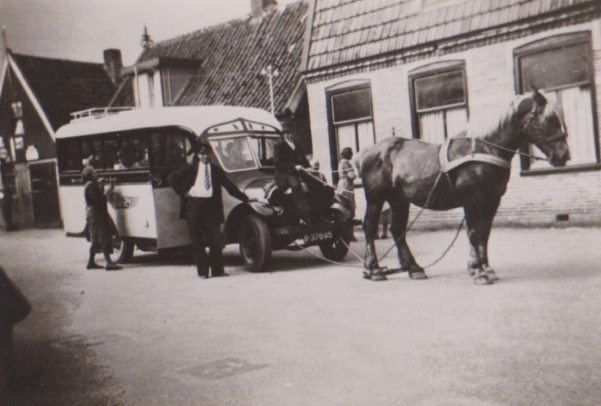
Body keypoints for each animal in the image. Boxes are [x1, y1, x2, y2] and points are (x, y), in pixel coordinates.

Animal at [354, 89, 568, 286]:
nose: (564, 155)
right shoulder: (472, 200)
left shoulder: (492, 200)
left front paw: (486, 269)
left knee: (397, 229)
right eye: (548, 119)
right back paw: (374, 270)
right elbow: (473, 232)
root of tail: (366, 151)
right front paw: (478, 271)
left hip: (399, 199)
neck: (485, 148)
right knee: (369, 227)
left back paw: (414, 268)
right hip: (375, 198)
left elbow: (484, 233)